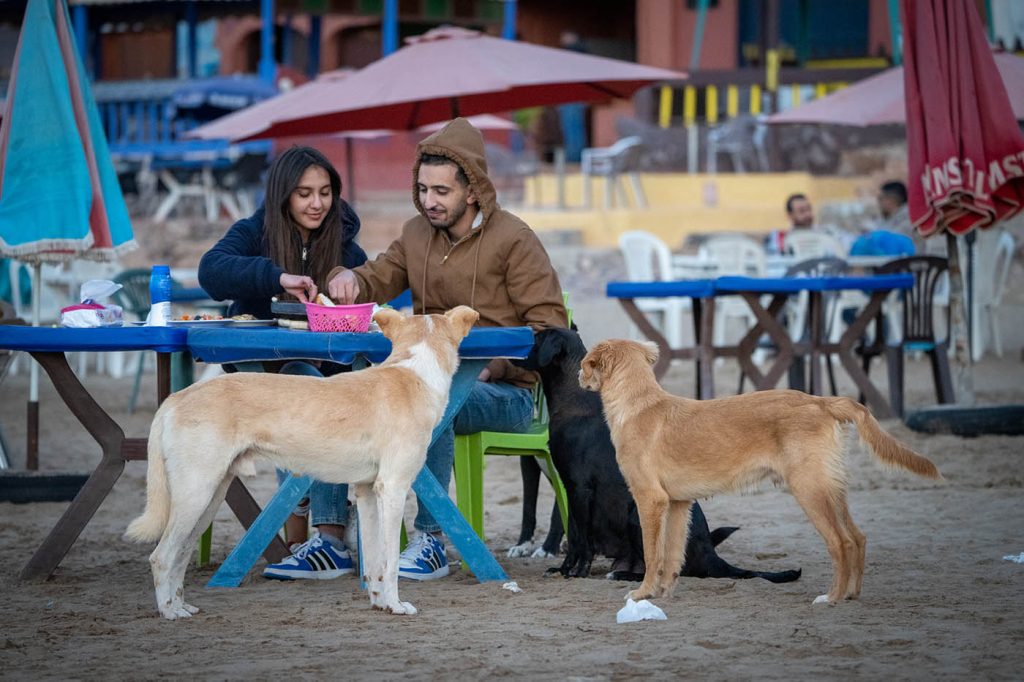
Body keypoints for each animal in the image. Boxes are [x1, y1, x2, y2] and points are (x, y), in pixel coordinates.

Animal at [125, 305, 477, 618]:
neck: (415, 372)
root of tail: (176, 398)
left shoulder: (366, 492)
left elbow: (376, 561)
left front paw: (379, 603)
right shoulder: (393, 489)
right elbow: (389, 562)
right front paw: (396, 605)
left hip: (209, 497)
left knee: (180, 554)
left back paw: (181, 605)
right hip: (196, 493)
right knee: (161, 556)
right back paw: (169, 612)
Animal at [512, 327, 798, 581]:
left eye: (536, 339)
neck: (573, 401)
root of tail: (711, 553)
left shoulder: (581, 488)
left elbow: (582, 539)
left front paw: (578, 571)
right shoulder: (569, 488)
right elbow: (572, 535)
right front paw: (562, 570)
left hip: (636, 514)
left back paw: (621, 575)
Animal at [581, 337, 937, 602]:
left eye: (586, 363)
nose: (578, 377)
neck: (638, 406)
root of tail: (821, 402)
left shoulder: (650, 500)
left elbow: (653, 555)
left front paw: (641, 594)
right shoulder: (679, 504)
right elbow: (671, 556)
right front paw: (662, 593)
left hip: (810, 490)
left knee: (841, 543)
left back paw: (832, 597)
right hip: (831, 488)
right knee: (859, 538)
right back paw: (851, 594)